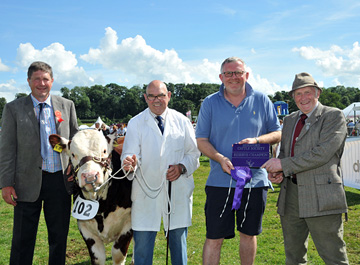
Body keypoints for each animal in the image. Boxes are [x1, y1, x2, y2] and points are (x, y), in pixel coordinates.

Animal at [48, 129, 131, 262]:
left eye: (104, 151)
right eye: (73, 154)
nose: (90, 176)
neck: (103, 206)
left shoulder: (129, 224)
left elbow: (118, 255)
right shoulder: (85, 229)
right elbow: (98, 258)